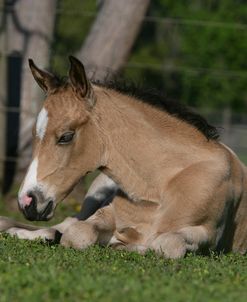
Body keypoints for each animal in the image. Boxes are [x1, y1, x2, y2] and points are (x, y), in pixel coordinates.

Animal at [0, 56, 247, 258]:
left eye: (66, 136)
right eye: (35, 134)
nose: (27, 201)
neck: (160, 187)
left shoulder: (209, 234)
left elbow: (166, 244)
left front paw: (127, 244)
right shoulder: (106, 213)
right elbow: (77, 233)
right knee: (66, 223)